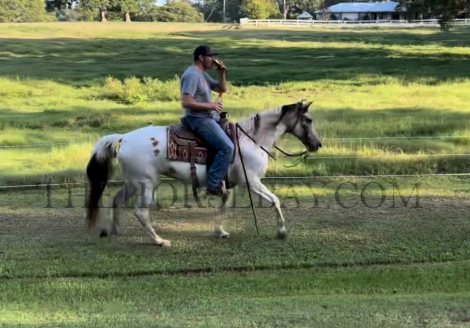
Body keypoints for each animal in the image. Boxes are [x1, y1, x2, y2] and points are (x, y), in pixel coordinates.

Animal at [84, 100, 322, 246]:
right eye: (308, 120)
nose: (317, 144)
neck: (251, 140)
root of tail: (123, 138)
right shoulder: (252, 182)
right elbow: (275, 201)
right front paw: (282, 231)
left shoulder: (228, 185)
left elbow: (224, 208)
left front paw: (219, 232)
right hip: (147, 184)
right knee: (141, 212)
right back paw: (160, 241)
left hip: (133, 183)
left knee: (116, 200)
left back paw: (115, 230)